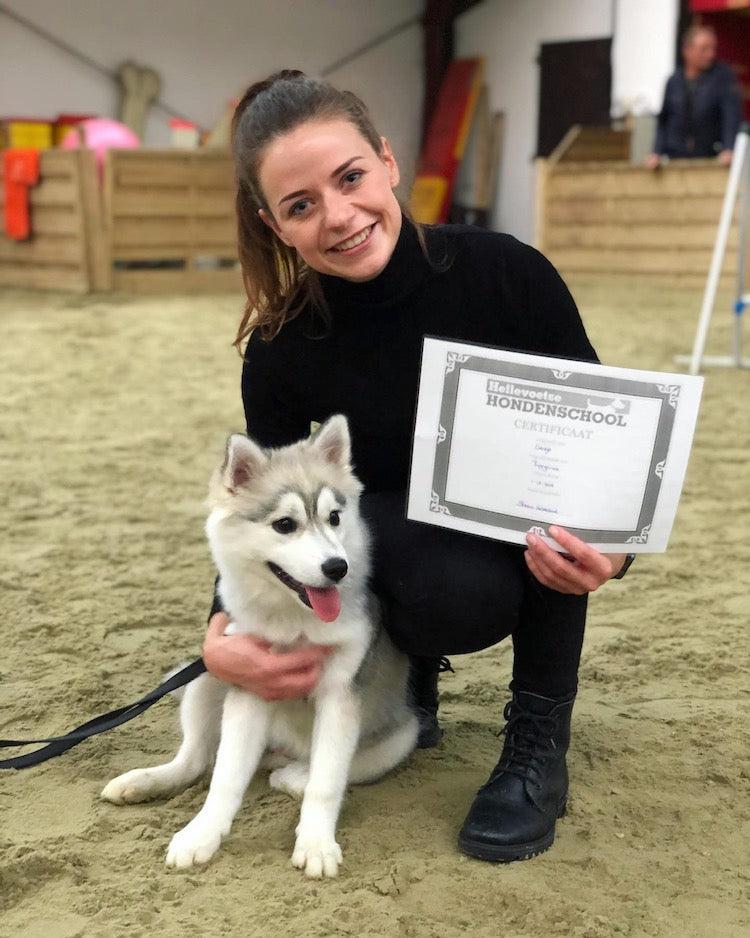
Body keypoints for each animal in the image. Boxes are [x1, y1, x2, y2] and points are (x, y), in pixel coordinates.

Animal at [100, 414, 420, 872]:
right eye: (284, 524)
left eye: (334, 517)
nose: (337, 567)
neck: (294, 622)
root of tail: (278, 749)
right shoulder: (249, 683)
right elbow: (226, 777)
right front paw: (201, 835)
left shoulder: (342, 696)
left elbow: (327, 782)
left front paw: (316, 844)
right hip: (206, 673)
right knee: (195, 759)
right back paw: (142, 782)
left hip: (403, 735)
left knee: (326, 770)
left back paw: (292, 775)